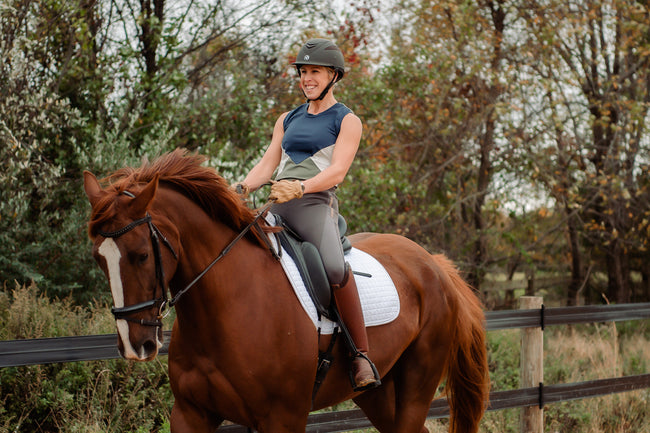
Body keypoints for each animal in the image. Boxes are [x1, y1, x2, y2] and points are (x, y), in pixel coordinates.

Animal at [82, 149, 486, 432]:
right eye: (98, 258)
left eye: (141, 255)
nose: (136, 345)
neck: (229, 305)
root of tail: (434, 263)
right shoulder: (190, 414)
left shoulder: (283, 418)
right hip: (378, 397)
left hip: (415, 388)